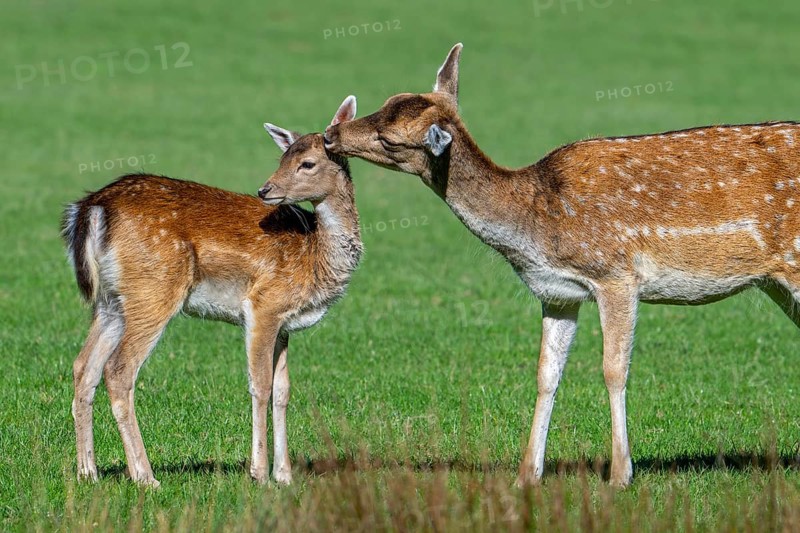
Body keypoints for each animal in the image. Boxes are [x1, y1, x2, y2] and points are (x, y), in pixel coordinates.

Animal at [62, 96, 361, 487]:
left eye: (306, 162)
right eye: (282, 158)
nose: (265, 190)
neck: (314, 256)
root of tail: (92, 207)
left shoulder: (285, 324)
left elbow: (283, 390)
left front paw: (285, 475)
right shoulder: (263, 305)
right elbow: (260, 386)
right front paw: (259, 473)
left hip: (112, 300)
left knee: (84, 367)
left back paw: (89, 472)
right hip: (154, 289)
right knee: (118, 370)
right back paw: (145, 476)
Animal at [323, 43, 800, 487]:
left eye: (390, 138)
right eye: (386, 101)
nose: (330, 135)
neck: (537, 223)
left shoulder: (615, 273)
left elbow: (613, 370)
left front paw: (620, 474)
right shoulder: (557, 293)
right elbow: (546, 374)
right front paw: (526, 474)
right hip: (776, 283)